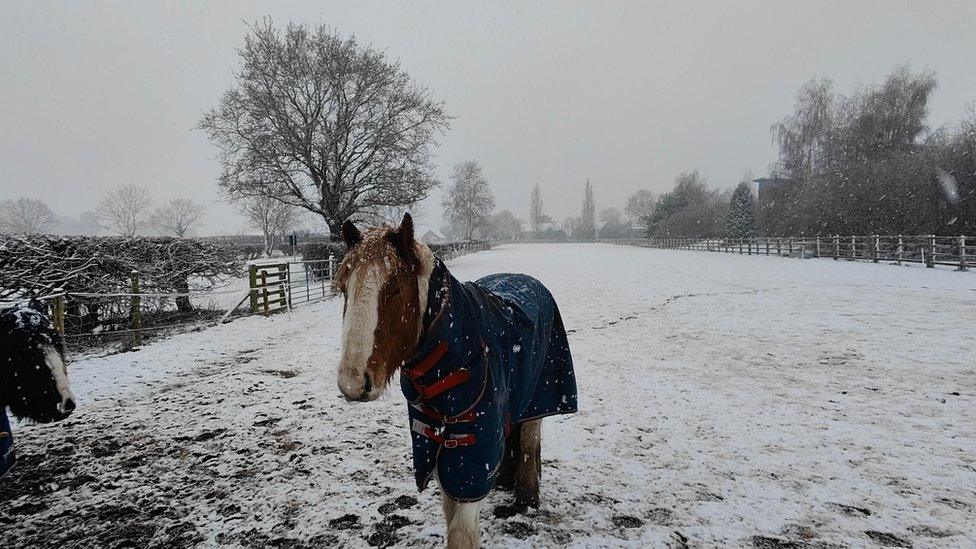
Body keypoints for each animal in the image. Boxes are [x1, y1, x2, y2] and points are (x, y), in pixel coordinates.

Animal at [336, 212, 580, 544]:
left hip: (539, 399)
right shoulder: (435, 445)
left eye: (395, 287)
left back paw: (526, 500)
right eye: (344, 288)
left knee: (529, 442)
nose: (352, 382)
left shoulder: (470, 451)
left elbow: (461, 531)